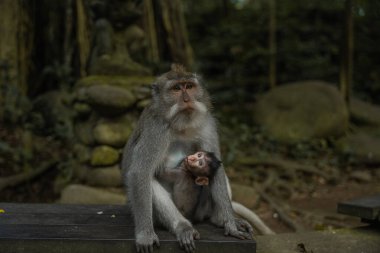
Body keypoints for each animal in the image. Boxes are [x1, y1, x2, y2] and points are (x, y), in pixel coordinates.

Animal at [121, 64, 252, 253]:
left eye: (189, 86)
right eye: (176, 89)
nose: (186, 99)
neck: (181, 125)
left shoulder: (207, 124)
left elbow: (217, 167)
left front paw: (231, 224)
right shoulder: (156, 130)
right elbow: (140, 173)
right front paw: (145, 235)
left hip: (201, 211)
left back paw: (219, 219)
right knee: (149, 181)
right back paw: (183, 227)